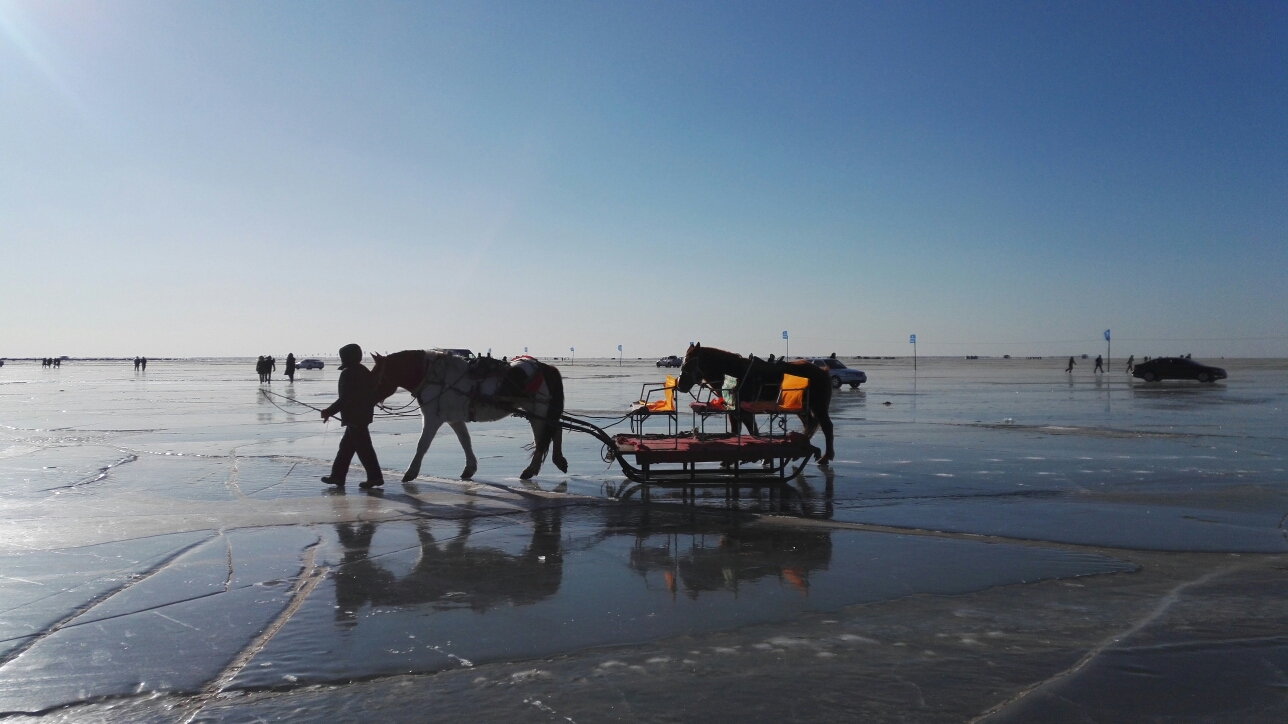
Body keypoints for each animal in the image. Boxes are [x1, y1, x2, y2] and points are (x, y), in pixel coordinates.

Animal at [370, 350, 566, 479]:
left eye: (374, 375)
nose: (367, 396)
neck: (435, 376)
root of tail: (546, 367)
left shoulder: (432, 418)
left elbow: (422, 444)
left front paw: (411, 472)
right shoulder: (454, 419)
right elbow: (465, 441)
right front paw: (470, 468)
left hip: (538, 409)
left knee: (543, 438)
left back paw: (532, 469)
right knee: (553, 431)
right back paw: (555, 461)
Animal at [674, 342, 834, 461]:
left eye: (690, 364)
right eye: (682, 362)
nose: (680, 385)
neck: (734, 373)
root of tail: (823, 371)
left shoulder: (745, 410)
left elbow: (752, 432)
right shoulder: (734, 410)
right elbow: (736, 432)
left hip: (818, 406)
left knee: (826, 426)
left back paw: (826, 457)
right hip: (800, 407)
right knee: (809, 423)